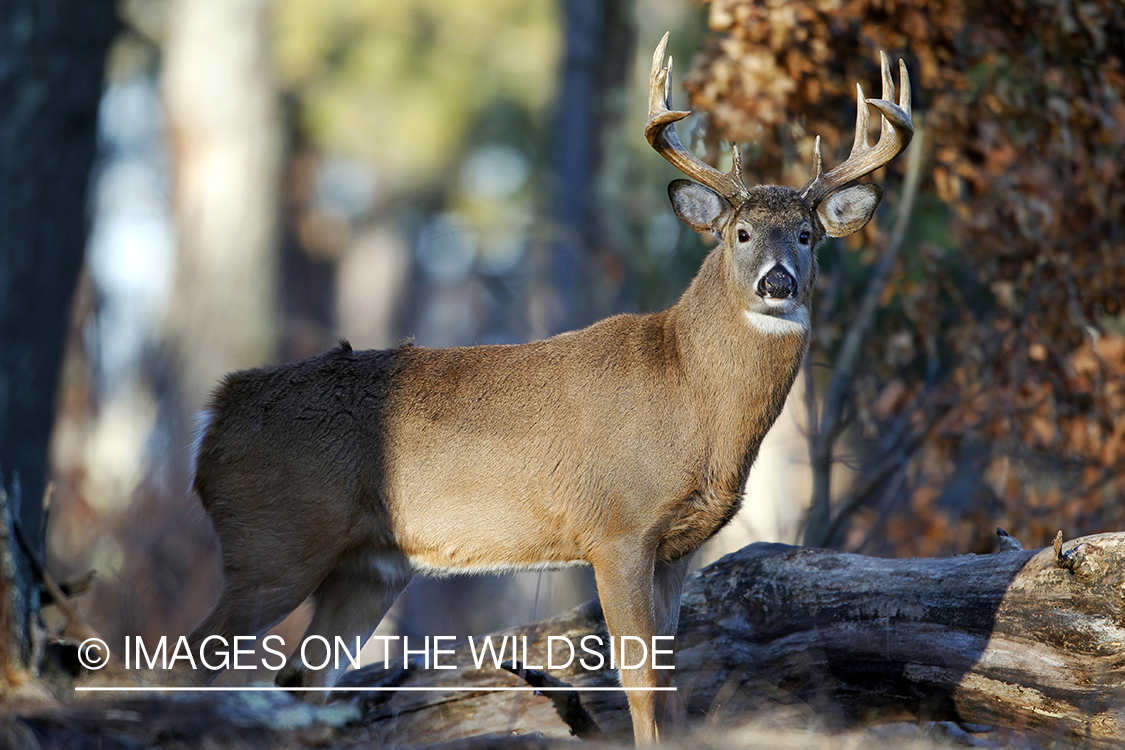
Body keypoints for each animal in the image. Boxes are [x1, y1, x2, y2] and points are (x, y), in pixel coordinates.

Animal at [180, 33, 909, 746]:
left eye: (808, 234)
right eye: (741, 232)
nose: (777, 282)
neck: (688, 388)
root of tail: (213, 417)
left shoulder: (677, 547)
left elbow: (671, 687)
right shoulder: (616, 528)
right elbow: (639, 685)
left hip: (367, 566)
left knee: (302, 681)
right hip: (275, 540)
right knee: (193, 659)